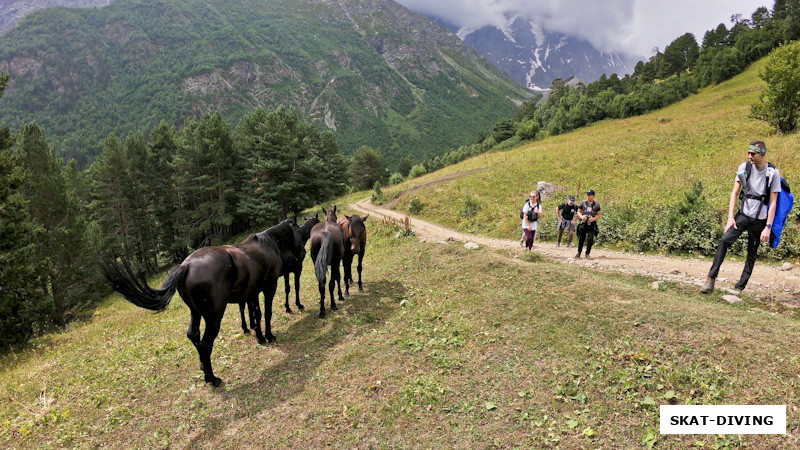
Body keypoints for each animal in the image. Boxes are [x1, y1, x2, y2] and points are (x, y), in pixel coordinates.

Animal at [101, 220, 300, 384]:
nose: (300, 256)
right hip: (213, 317)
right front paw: (269, 336)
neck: (266, 245)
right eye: (298, 230)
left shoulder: (252, 293)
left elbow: (255, 314)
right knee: (205, 343)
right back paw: (212, 378)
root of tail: (185, 266)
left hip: (195, 312)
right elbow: (266, 313)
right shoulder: (269, 287)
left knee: (193, 335)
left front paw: (260, 337)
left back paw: (204, 366)